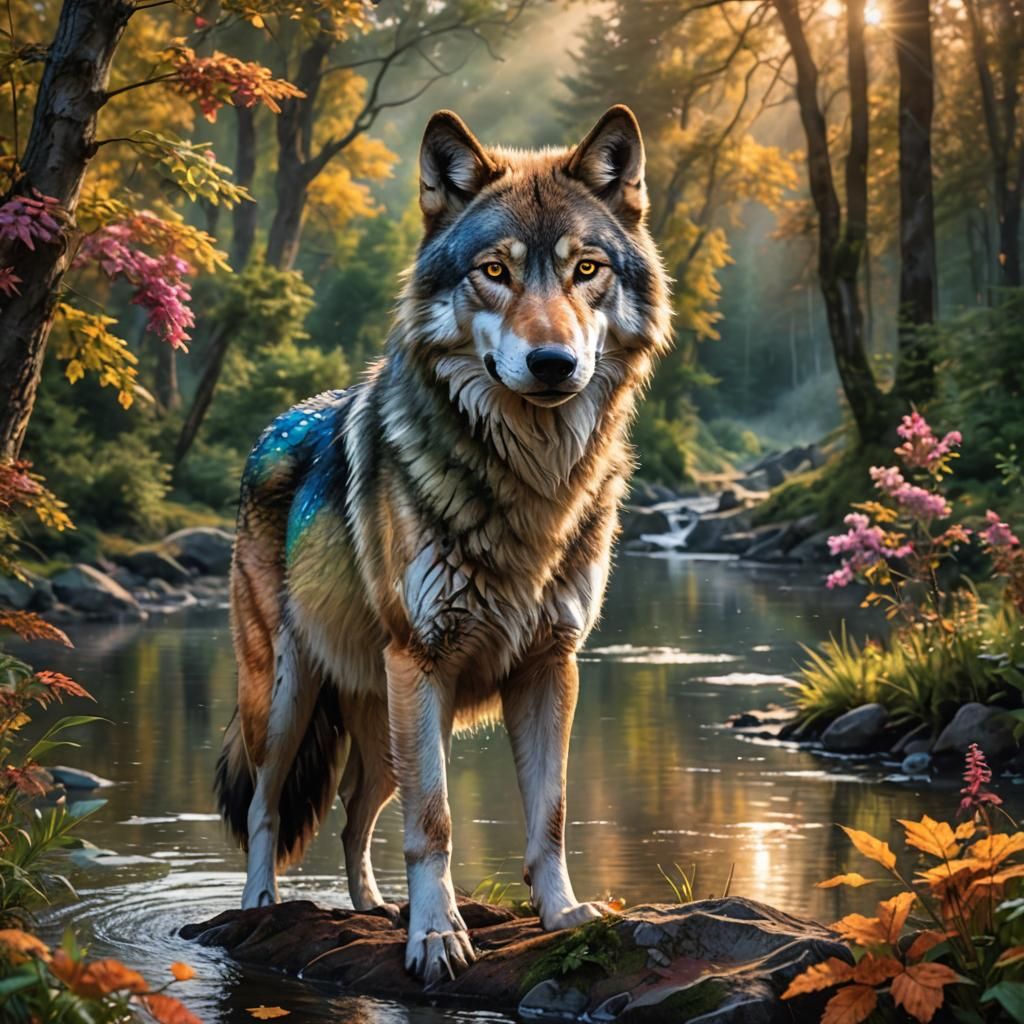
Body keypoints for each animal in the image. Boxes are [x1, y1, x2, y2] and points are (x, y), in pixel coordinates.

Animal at [215, 104, 672, 985]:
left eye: (587, 269)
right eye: (494, 270)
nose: (553, 361)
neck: (531, 483)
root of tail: (269, 428)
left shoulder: (551, 665)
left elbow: (550, 813)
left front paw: (562, 914)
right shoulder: (422, 662)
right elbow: (436, 823)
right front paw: (435, 937)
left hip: (382, 726)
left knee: (355, 815)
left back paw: (369, 909)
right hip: (289, 700)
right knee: (263, 807)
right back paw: (258, 906)